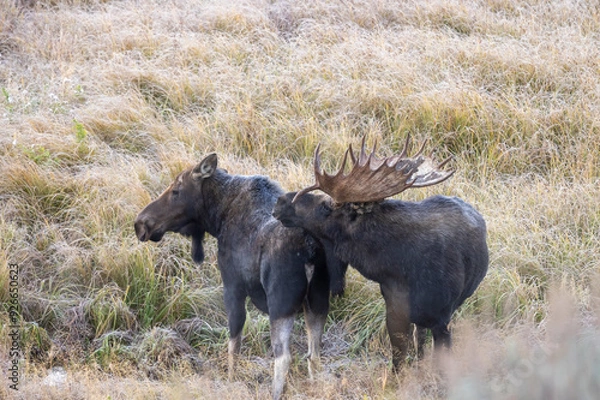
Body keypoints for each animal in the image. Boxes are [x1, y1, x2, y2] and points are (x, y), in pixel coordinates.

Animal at [133, 152, 344, 398]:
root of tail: (311, 251)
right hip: (318, 300)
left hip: (281, 304)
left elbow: (233, 344)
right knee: (315, 355)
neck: (217, 218)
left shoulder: (232, 286)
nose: (141, 223)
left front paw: (230, 381)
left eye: (176, 190)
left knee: (284, 357)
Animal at [274, 136, 490, 368]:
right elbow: (399, 360)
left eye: (326, 207)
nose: (280, 201)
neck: (396, 267)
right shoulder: (395, 311)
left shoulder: (442, 319)